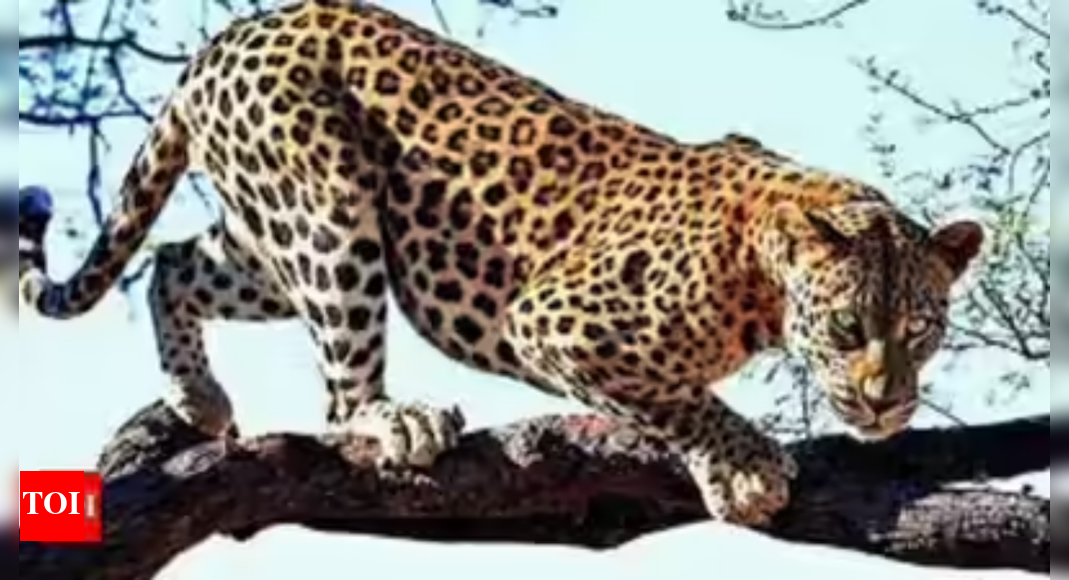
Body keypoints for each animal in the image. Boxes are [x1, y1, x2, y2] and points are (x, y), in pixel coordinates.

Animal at [17, 0, 985, 527]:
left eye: (921, 331)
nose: (886, 402)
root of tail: (226, 38)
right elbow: (678, 397)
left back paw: (199, 397)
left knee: (172, 261)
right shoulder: (552, 320)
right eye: (847, 326)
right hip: (327, 210)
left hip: (269, 238)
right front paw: (743, 467)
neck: (761, 277)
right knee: (337, 393)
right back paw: (393, 419)